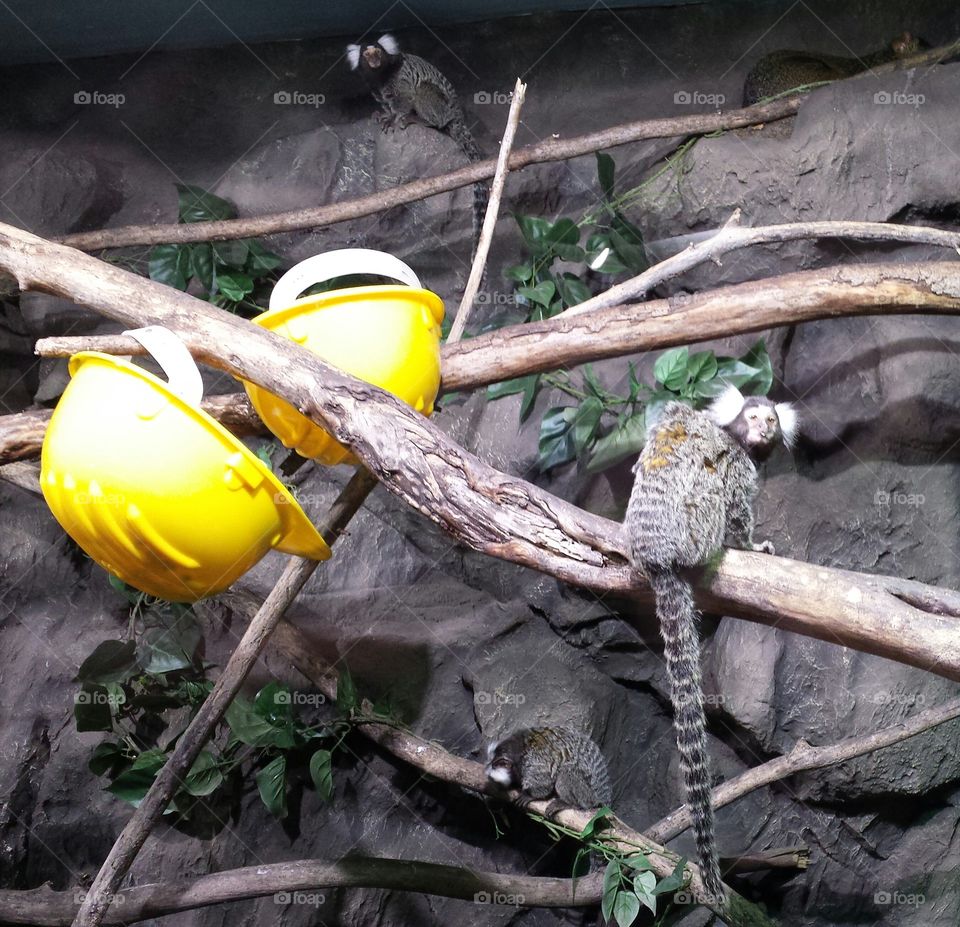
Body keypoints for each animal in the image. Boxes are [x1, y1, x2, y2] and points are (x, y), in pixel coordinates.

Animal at [346, 34, 489, 264]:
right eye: (366, 54)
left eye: (377, 52)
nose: (374, 60)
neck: (381, 74)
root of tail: (457, 116)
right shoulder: (377, 88)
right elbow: (386, 103)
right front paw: (385, 115)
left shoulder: (400, 79)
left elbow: (405, 98)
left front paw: (395, 118)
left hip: (442, 106)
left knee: (423, 91)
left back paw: (422, 120)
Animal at [624, 386, 798, 900]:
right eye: (753, 417)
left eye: (771, 420)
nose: (762, 429)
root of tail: (657, 558)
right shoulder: (738, 466)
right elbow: (738, 508)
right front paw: (751, 544)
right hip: (696, 528)